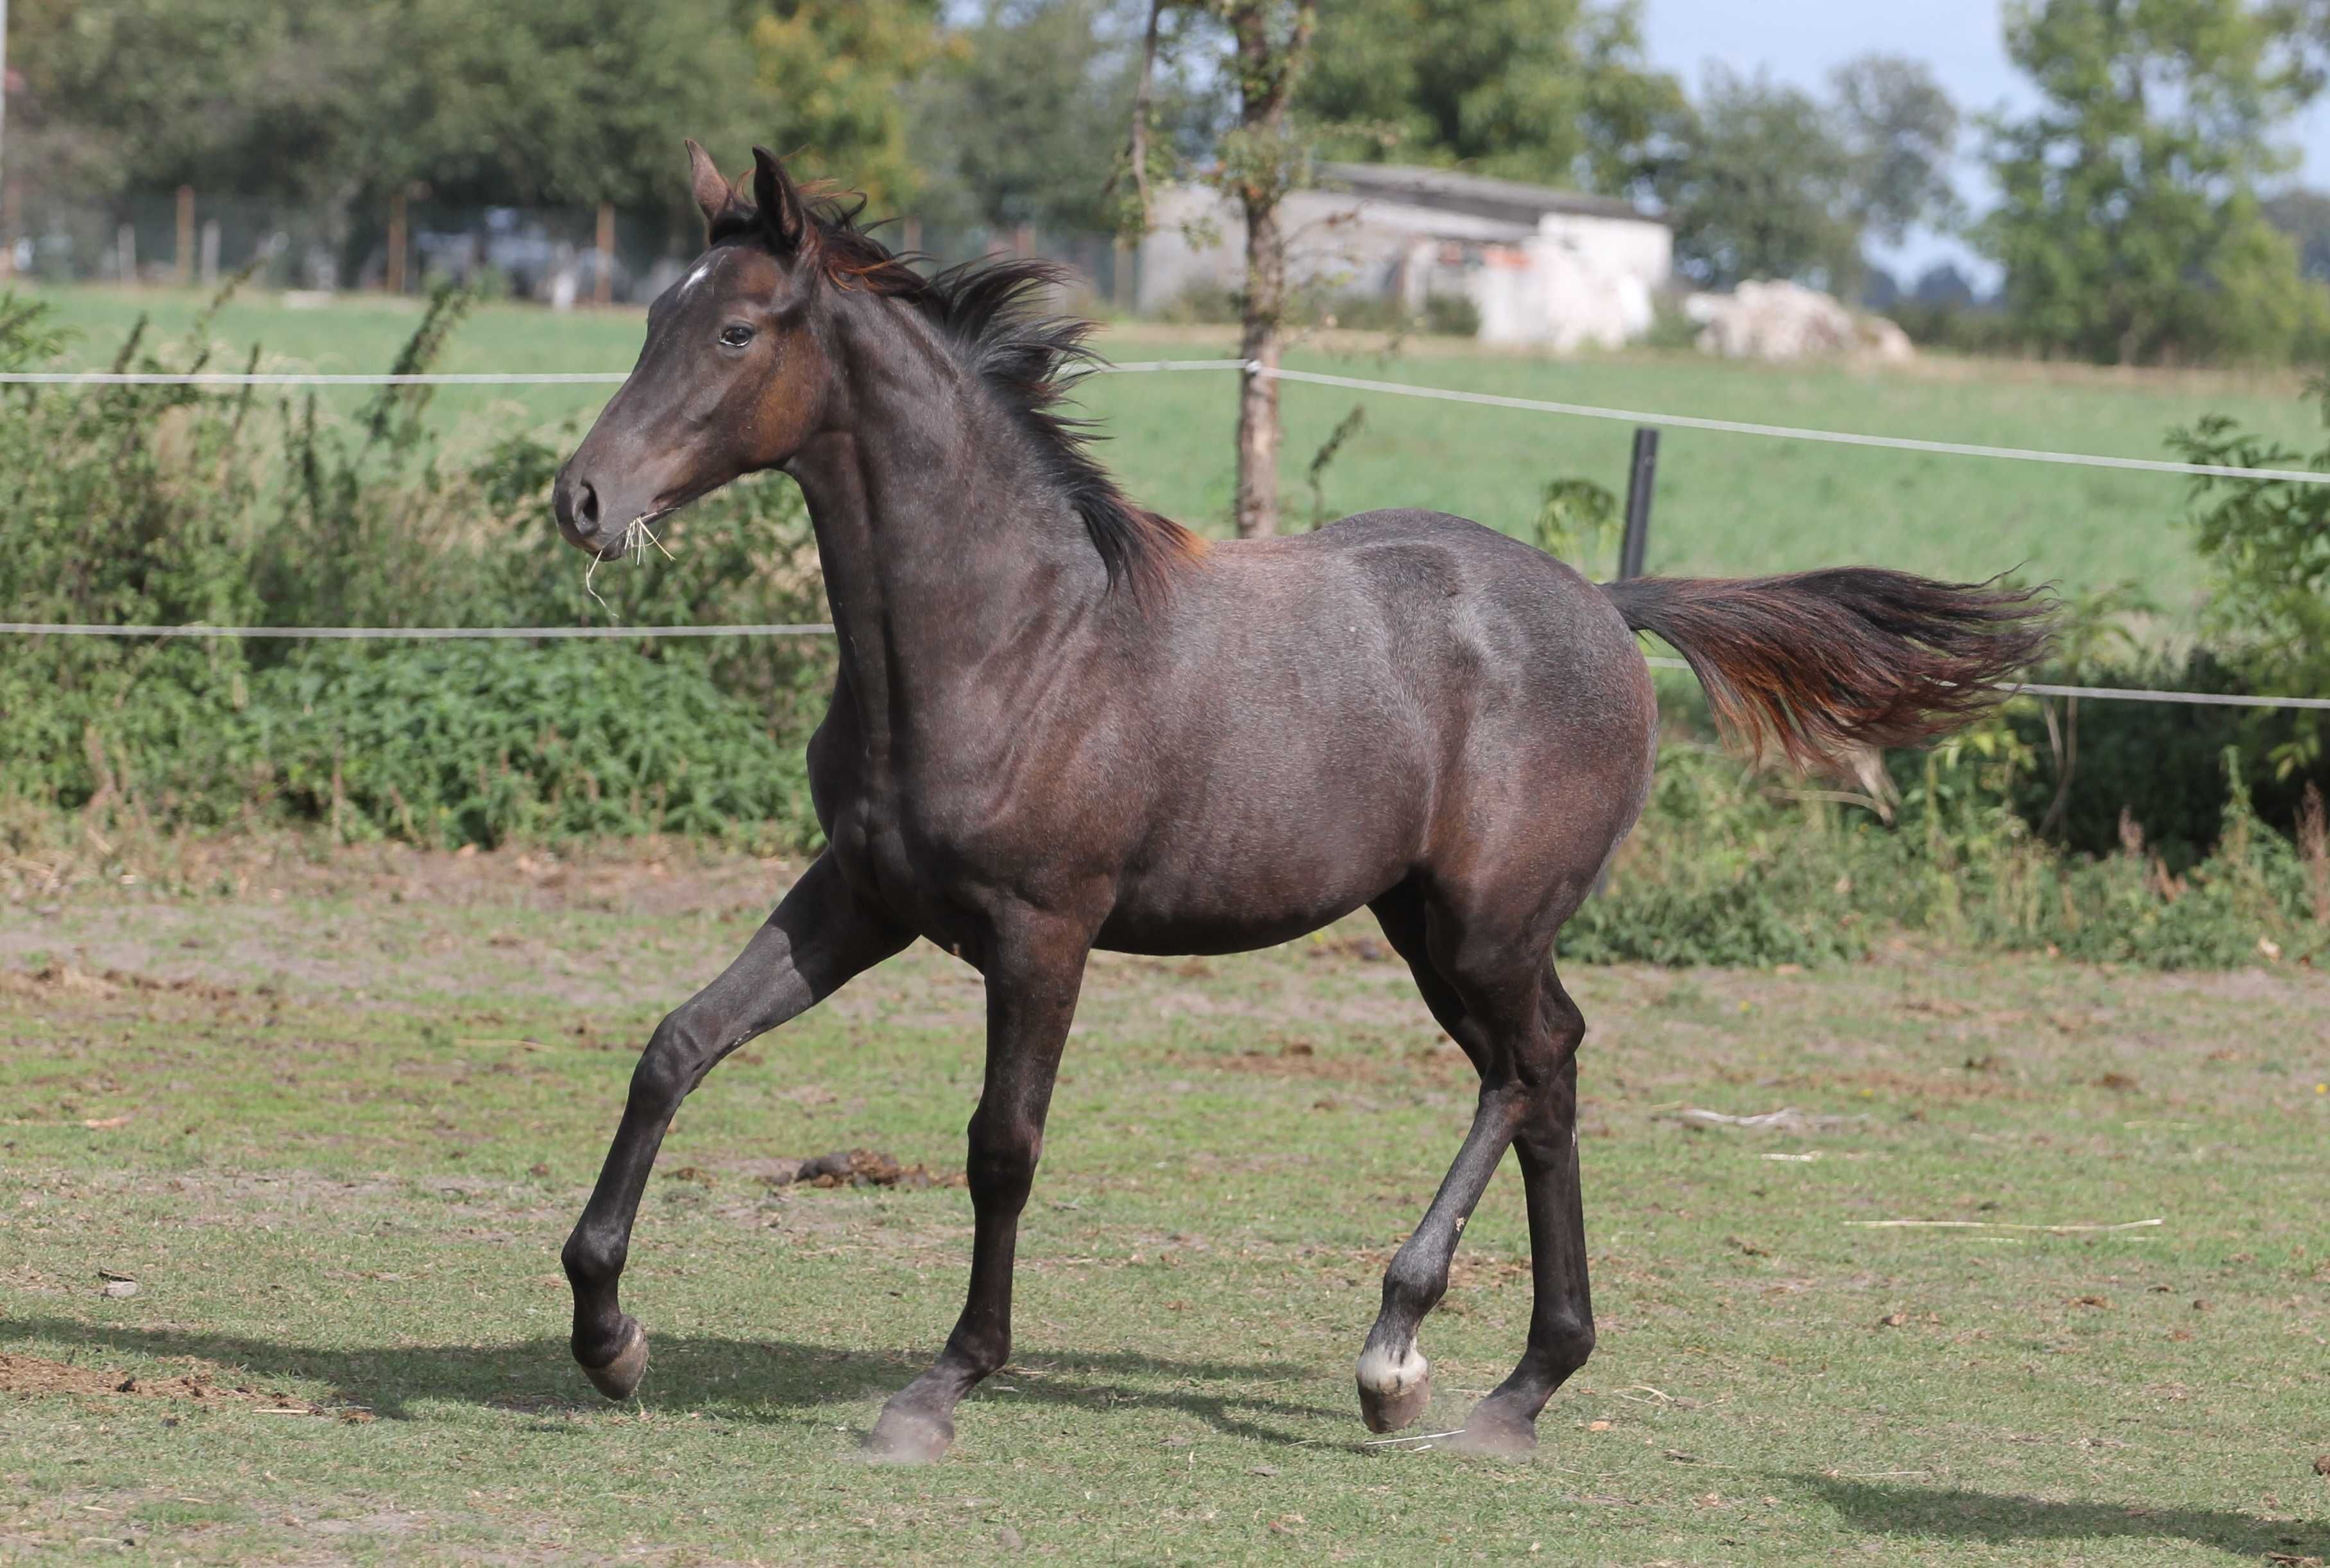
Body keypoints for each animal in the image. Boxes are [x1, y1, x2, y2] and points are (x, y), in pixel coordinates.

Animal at [554, 141, 2050, 1463]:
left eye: (736, 330)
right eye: (655, 313)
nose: (582, 496)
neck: (1008, 636)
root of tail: (1607, 605)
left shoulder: (1042, 930)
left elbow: (1001, 1148)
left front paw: (940, 1387)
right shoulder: (861, 895)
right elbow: (677, 1046)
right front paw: (608, 1336)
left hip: (1485, 922)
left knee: (1532, 1065)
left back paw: (1408, 1354)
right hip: (1425, 924)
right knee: (1543, 1073)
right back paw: (1507, 1381)